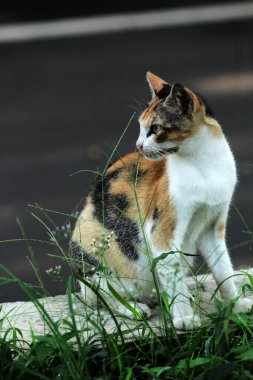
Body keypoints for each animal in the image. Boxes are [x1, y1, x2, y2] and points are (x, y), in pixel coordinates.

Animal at [69, 72, 253, 330]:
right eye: (140, 127)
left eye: (155, 128)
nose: (138, 145)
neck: (204, 166)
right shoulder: (161, 235)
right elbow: (175, 279)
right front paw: (185, 318)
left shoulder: (212, 227)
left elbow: (224, 270)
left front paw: (235, 305)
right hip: (93, 245)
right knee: (101, 297)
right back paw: (135, 308)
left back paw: (157, 295)